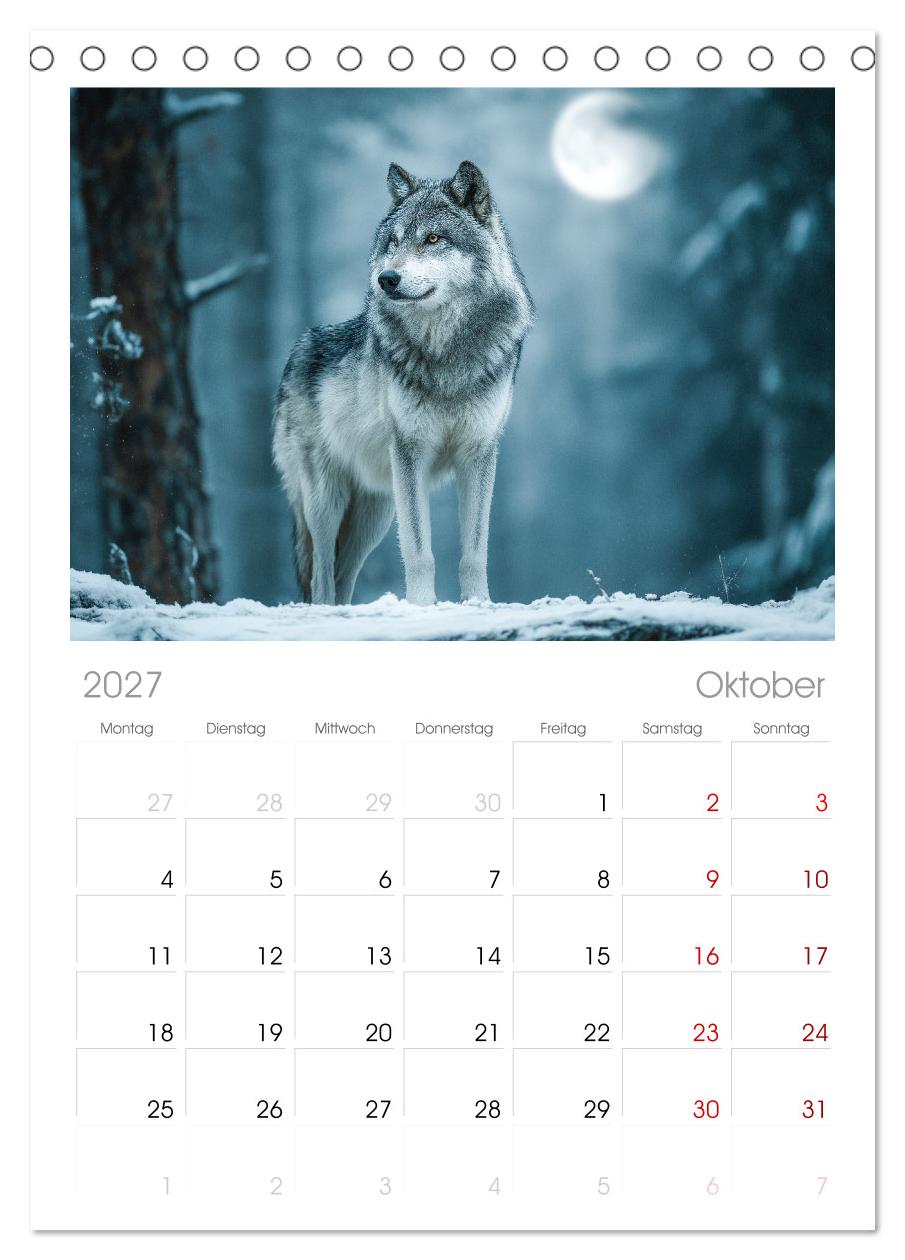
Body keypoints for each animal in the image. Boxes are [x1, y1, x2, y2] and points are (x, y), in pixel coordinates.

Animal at [273, 159, 534, 606]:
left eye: (433, 239)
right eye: (393, 242)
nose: (387, 278)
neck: (448, 353)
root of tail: (297, 350)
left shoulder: (478, 454)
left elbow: (474, 554)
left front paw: (478, 604)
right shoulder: (412, 451)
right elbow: (418, 552)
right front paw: (422, 606)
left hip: (374, 513)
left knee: (341, 577)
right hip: (326, 501)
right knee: (320, 577)